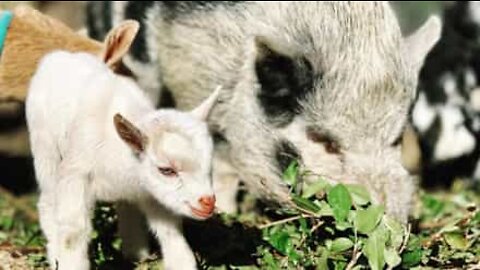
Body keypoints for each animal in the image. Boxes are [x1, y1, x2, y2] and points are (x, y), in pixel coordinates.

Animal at [26, 50, 221, 270]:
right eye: (167, 170)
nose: (208, 202)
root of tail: (59, 55)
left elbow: (169, 229)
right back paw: (54, 254)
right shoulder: (75, 175)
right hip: (44, 146)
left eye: (209, 166)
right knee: (48, 199)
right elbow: (73, 232)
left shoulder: (149, 190)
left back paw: (135, 252)